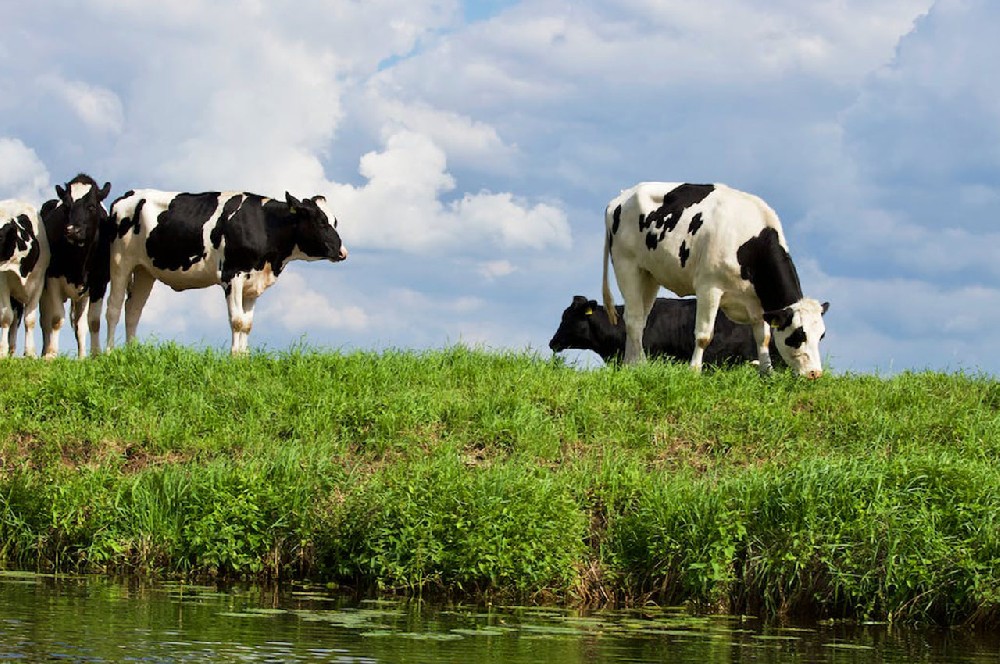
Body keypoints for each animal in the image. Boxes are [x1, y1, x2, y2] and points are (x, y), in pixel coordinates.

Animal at [0, 200, 49, 358]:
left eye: (0, 236)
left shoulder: (39, 282)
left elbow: (30, 319)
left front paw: (30, 353)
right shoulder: (3, 282)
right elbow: (6, 317)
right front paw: (2, 351)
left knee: (16, 320)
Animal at [38, 172, 112, 358]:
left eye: (91, 206)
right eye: (66, 206)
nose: (72, 230)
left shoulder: (99, 282)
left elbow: (93, 321)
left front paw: (94, 355)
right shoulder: (52, 279)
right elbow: (56, 319)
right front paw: (51, 355)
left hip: (82, 297)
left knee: (80, 324)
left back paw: (81, 356)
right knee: (45, 322)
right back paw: (43, 352)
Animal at [105, 189, 348, 356]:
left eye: (335, 221)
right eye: (321, 221)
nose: (342, 252)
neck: (265, 225)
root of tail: (127, 196)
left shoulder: (253, 282)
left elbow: (248, 324)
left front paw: (244, 357)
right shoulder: (232, 275)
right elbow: (237, 320)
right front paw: (234, 357)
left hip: (144, 270)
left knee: (133, 310)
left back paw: (131, 353)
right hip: (120, 262)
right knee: (114, 308)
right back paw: (108, 353)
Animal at [600, 184, 828, 376]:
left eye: (821, 336)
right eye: (799, 335)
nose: (815, 374)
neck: (749, 242)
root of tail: (621, 197)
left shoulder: (756, 303)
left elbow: (763, 337)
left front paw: (767, 373)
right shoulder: (709, 288)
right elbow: (703, 336)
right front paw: (694, 371)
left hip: (649, 274)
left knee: (639, 318)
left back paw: (631, 364)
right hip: (626, 265)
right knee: (634, 319)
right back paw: (640, 363)